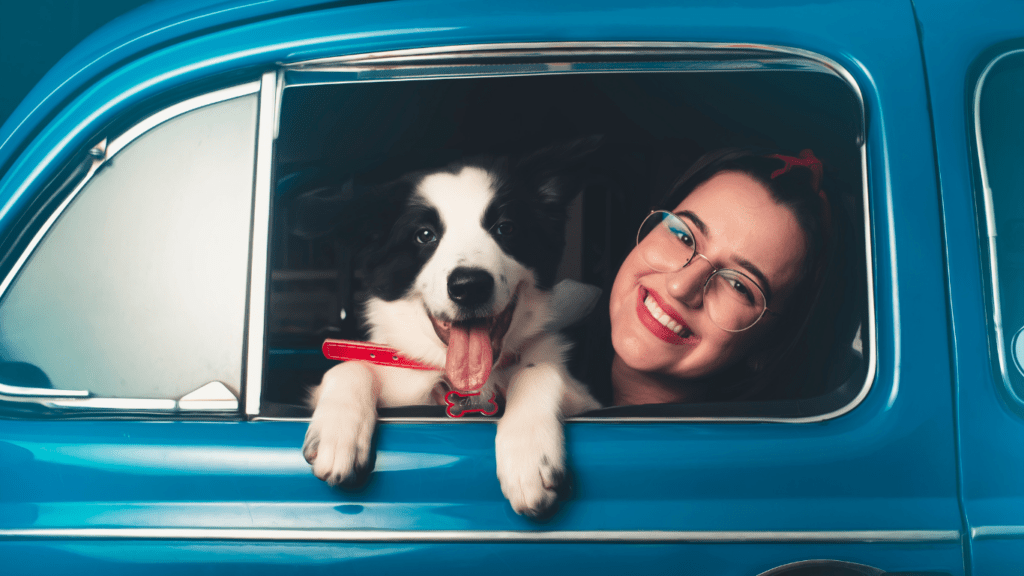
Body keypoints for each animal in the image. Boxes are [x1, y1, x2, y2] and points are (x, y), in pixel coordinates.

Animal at [303, 140, 606, 516]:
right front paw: (336, 431)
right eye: (424, 235)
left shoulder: (585, 398)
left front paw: (529, 454)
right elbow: (349, 365)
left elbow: (538, 369)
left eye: (506, 228)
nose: (469, 286)